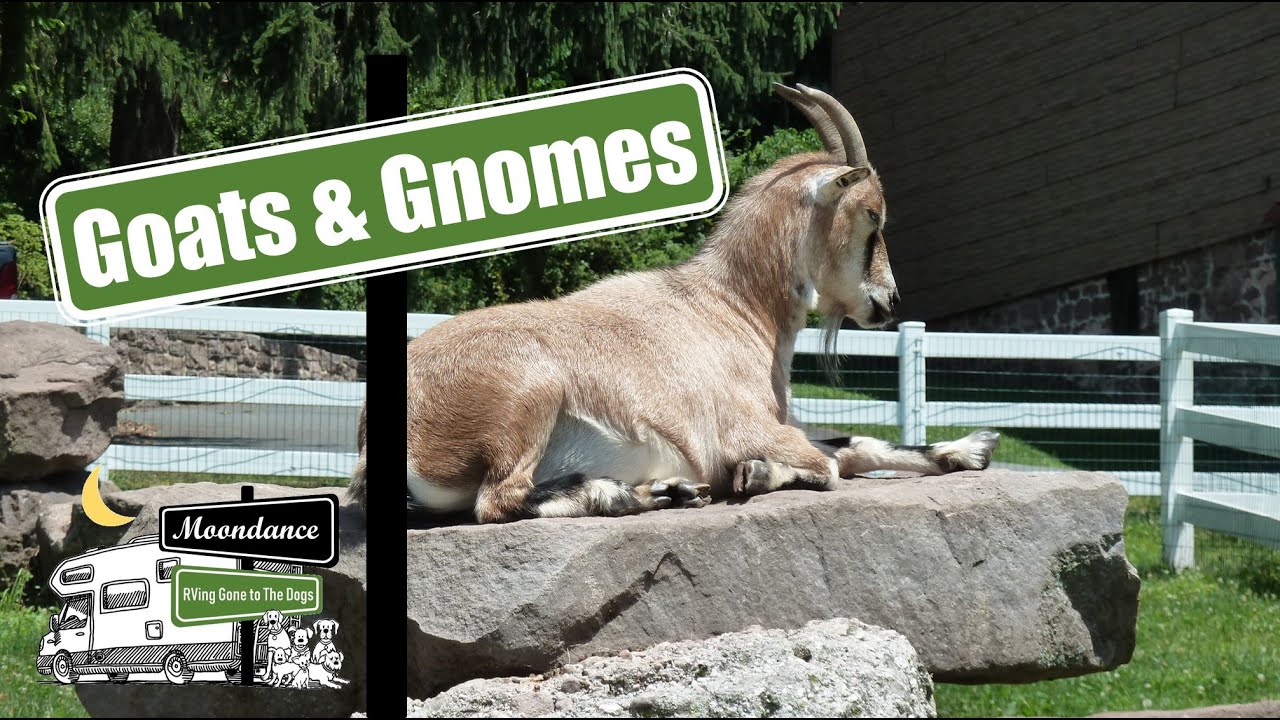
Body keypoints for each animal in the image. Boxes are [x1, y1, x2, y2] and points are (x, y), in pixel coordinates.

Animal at [346, 84, 999, 522]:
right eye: (872, 216)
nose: (888, 301)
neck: (731, 310)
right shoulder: (746, 429)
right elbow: (830, 465)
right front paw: (753, 473)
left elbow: (854, 445)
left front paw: (972, 449)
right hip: (529, 395)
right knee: (496, 501)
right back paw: (631, 492)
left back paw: (667, 491)